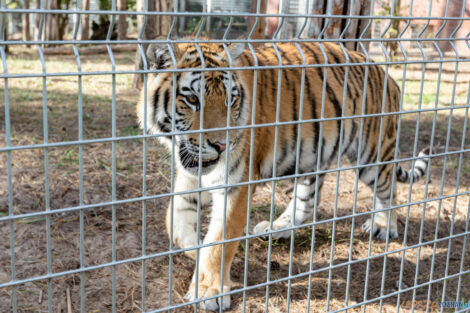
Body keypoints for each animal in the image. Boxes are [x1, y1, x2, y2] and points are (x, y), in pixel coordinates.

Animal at [136, 39, 430, 310]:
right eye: (192, 99)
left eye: (231, 100)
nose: (221, 144)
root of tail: (386, 73)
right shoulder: (190, 176)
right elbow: (175, 223)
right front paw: (197, 250)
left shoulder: (237, 184)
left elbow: (220, 241)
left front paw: (210, 290)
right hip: (312, 158)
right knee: (308, 200)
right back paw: (278, 228)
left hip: (372, 152)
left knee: (389, 189)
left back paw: (383, 225)